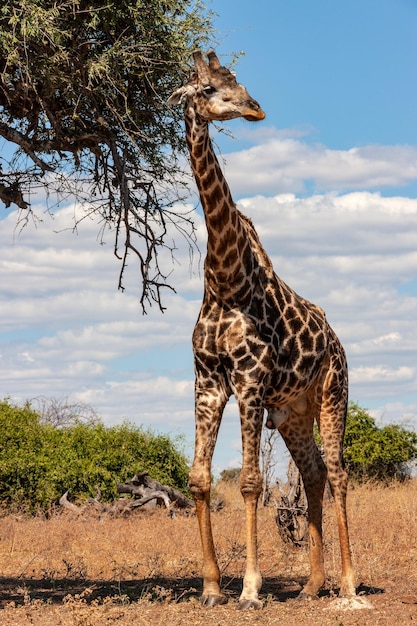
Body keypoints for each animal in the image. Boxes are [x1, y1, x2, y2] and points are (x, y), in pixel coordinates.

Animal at [167, 51, 356, 608]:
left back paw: (348, 583)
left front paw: (249, 589)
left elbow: (251, 482)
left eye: (239, 83)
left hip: (333, 394)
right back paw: (312, 584)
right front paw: (211, 587)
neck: (224, 279)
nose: (256, 109)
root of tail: (338, 343)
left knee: (338, 473)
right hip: (293, 412)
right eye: (208, 89)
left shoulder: (249, 379)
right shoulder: (208, 381)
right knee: (313, 473)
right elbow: (199, 479)